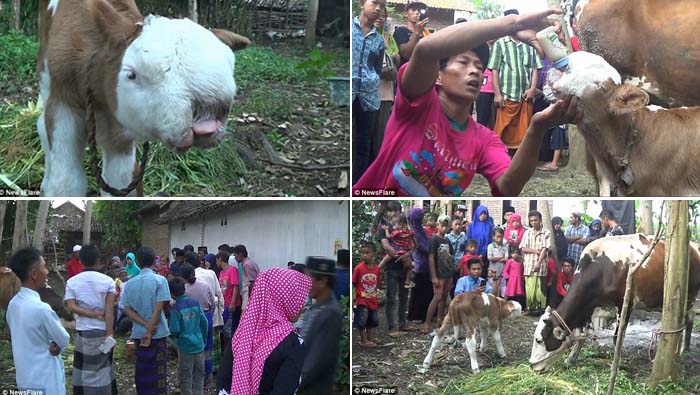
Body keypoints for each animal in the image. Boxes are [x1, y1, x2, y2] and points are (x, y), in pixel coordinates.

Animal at [38, 0, 250, 196]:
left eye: (230, 69)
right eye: (132, 75)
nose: (209, 106)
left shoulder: (119, 122)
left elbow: (121, 181)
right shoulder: (62, 101)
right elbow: (65, 183)